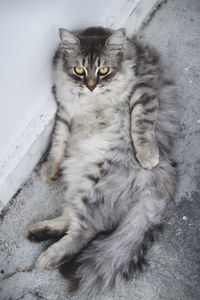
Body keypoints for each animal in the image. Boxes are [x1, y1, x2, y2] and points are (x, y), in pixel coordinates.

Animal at [26, 26, 178, 296]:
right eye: (79, 70)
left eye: (103, 71)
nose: (90, 86)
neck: (91, 101)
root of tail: (163, 180)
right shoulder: (64, 111)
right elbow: (58, 142)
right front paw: (49, 168)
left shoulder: (144, 82)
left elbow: (141, 121)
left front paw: (146, 154)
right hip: (82, 181)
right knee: (73, 219)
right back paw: (38, 232)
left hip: (96, 182)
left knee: (85, 231)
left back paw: (50, 255)